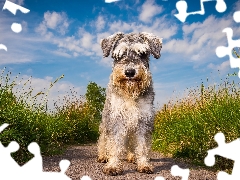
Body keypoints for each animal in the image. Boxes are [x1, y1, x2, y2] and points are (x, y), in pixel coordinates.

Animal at [96, 31, 162, 175]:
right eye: (119, 55)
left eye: (142, 53)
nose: (130, 72)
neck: (131, 94)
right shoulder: (116, 120)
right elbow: (114, 145)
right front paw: (112, 165)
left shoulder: (143, 121)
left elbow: (142, 146)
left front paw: (144, 164)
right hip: (105, 123)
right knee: (103, 140)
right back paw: (103, 156)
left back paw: (132, 156)